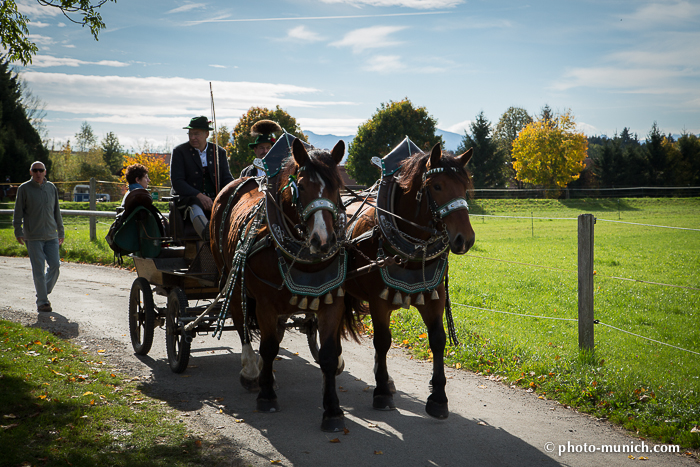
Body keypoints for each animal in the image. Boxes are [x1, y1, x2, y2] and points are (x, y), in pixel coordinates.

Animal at [209, 139, 356, 436]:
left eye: (337, 186)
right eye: (300, 186)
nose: (322, 240)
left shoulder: (331, 301)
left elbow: (328, 356)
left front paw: (333, 411)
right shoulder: (265, 302)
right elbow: (267, 347)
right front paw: (266, 396)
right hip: (232, 277)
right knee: (241, 322)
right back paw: (251, 371)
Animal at [344, 143, 476, 420]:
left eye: (464, 186)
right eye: (437, 186)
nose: (465, 239)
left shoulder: (434, 296)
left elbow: (438, 339)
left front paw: (438, 398)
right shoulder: (378, 301)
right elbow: (382, 341)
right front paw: (382, 392)